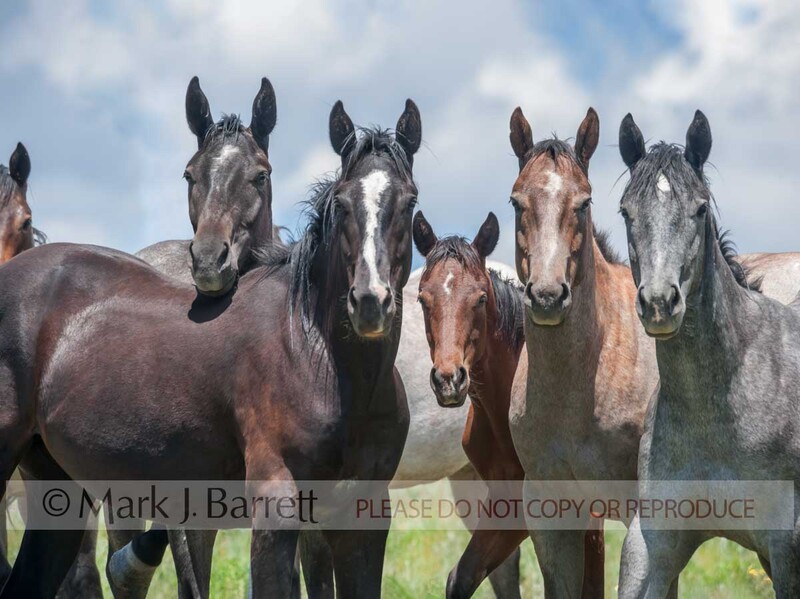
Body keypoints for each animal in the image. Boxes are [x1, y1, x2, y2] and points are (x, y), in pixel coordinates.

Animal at [0, 100, 421, 599]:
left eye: (410, 201)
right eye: (340, 201)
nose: (370, 302)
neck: (319, 356)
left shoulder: (361, 518)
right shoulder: (276, 507)